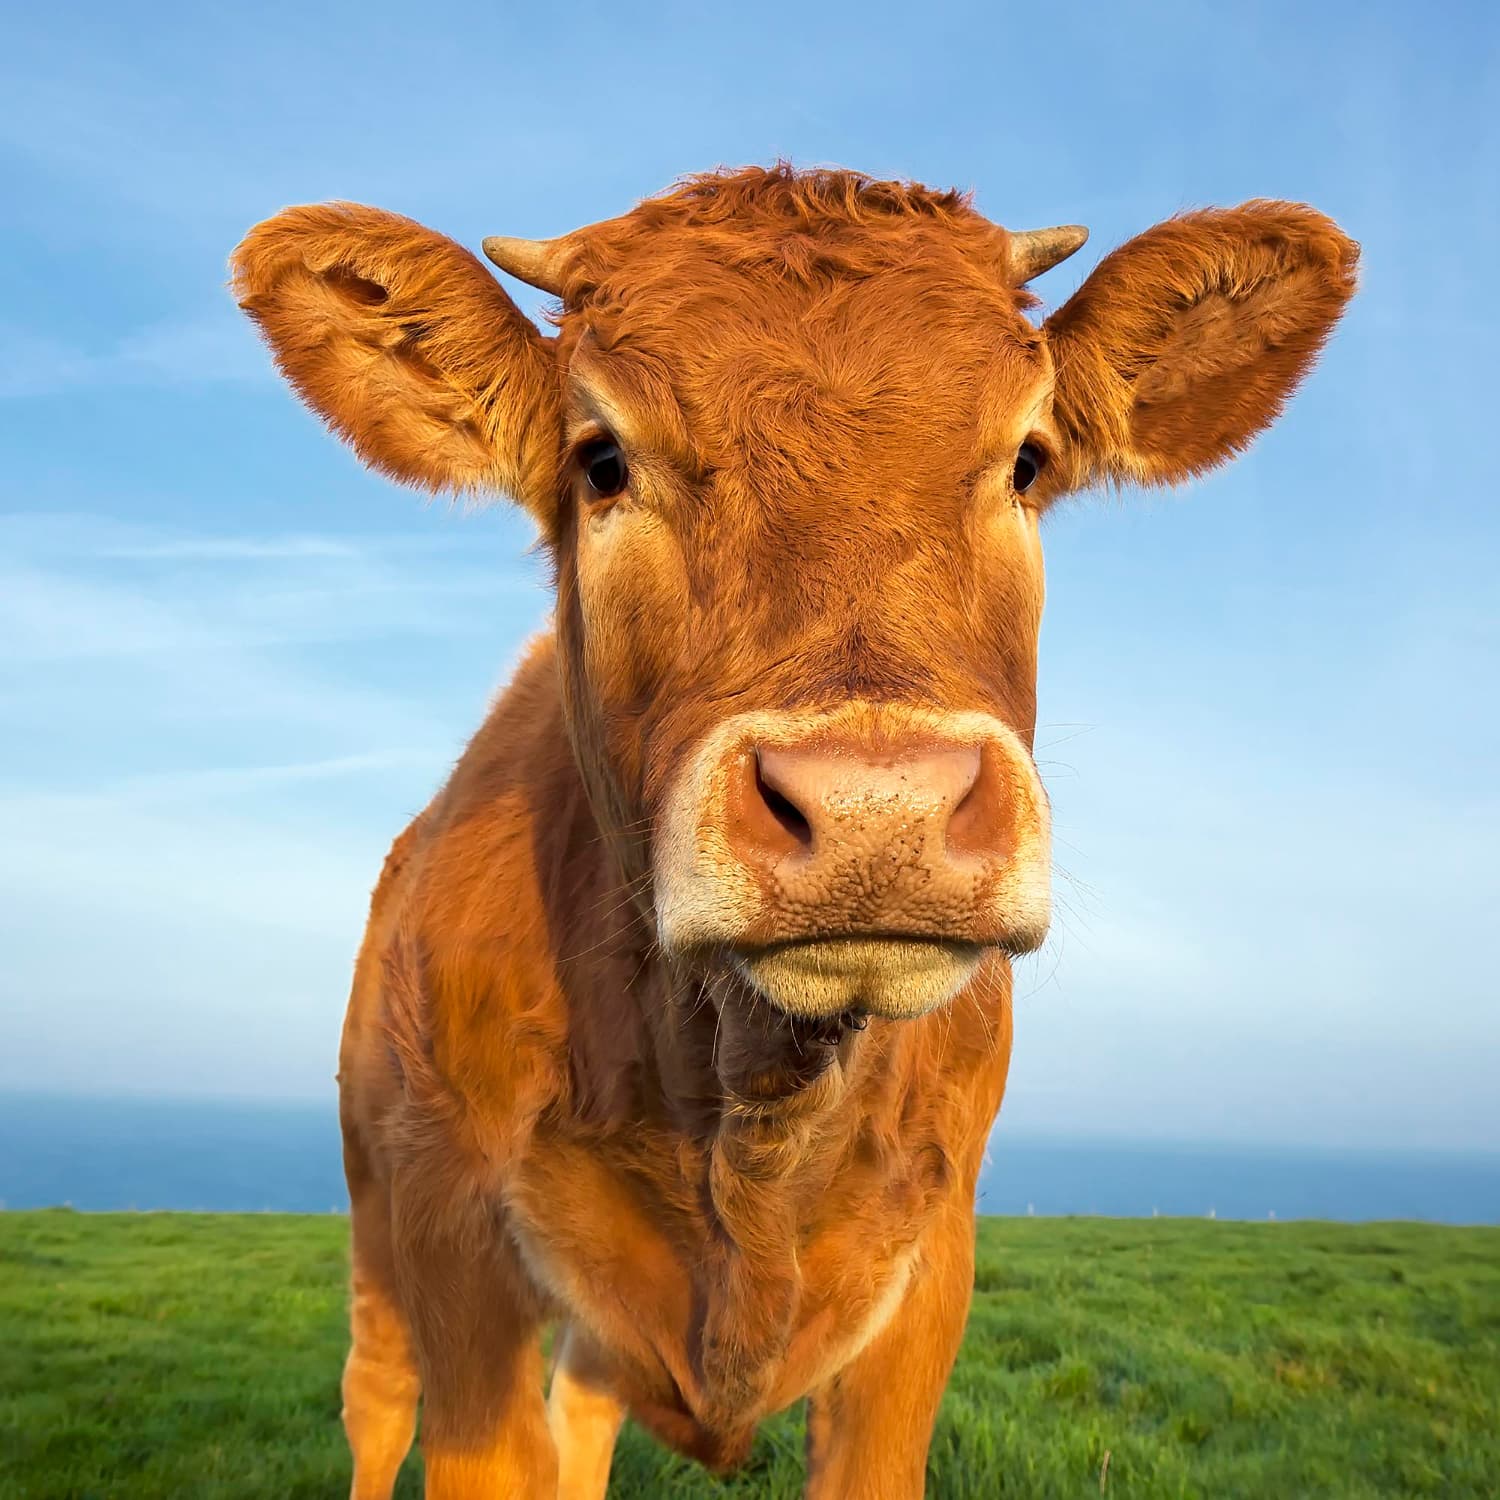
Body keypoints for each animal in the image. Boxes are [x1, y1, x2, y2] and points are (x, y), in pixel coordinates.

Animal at [231, 164, 1357, 1499]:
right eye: (601, 460)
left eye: (1028, 461)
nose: (879, 807)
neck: (748, 1102)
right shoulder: (459, 1261)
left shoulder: (928, 1281)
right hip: (376, 1202)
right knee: (377, 1401)